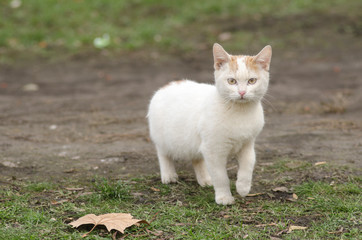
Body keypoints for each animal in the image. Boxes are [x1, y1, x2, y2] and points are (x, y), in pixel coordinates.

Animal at [147, 43, 272, 204]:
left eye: (252, 81)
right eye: (232, 81)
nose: (242, 93)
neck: (240, 112)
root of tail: (169, 84)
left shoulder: (247, 144)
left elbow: (248, 166)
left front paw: (243, 187)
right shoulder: (213, 150)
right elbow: (221, 176)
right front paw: (224, 197)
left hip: (196, 143)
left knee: (196, 158)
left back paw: (205, 179)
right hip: (164, 138)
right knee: (163, 154)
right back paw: (168, 175)